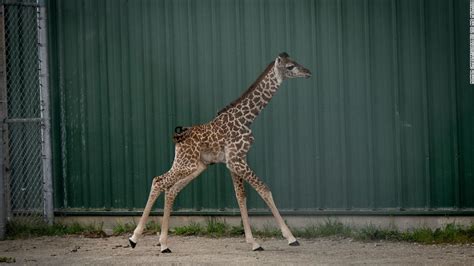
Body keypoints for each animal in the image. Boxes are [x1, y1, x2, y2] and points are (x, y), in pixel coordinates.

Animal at [130, 51, 312, 251]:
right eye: (290, 67)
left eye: (295, 62)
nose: (308, 72)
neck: (246, 119)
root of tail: (178, 139)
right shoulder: (236, 160)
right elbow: (264, 189)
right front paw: (290, 238)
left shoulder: (235, 161)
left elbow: (241, 196)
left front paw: (253, 241)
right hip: (186, 164)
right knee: (158, 181)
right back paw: (134, 238)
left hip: (196, 166)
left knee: (171, 189)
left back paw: (163, 244)